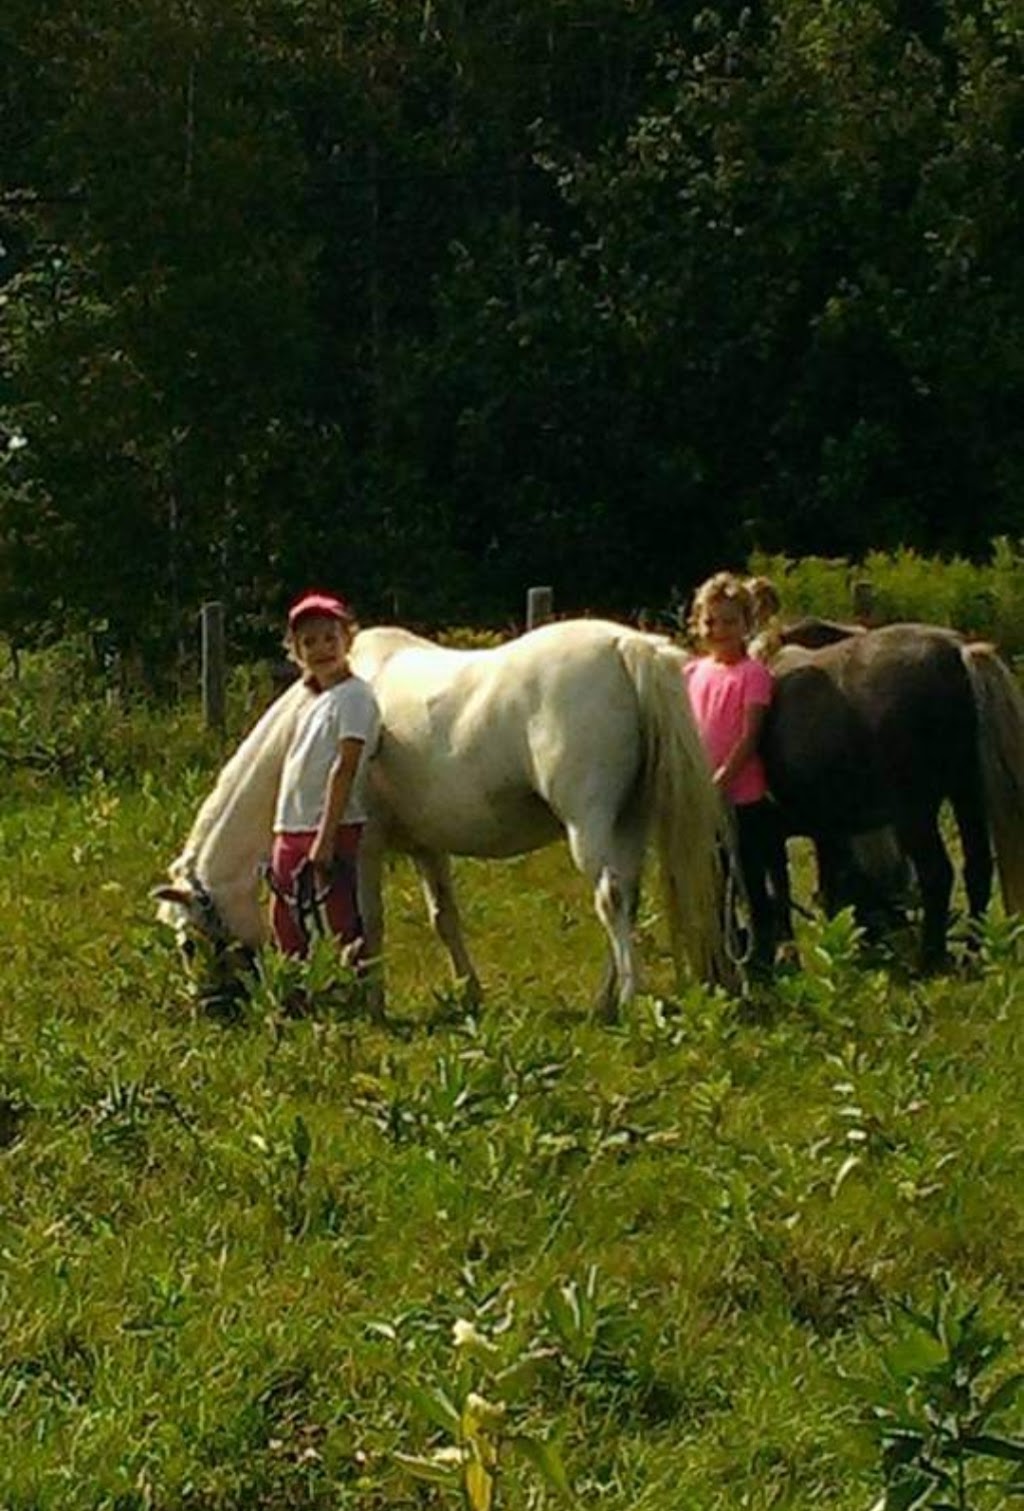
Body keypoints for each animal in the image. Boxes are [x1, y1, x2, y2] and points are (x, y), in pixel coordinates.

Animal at [156, 613, 730, 1015]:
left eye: (187, 944)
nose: (209, 1010)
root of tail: (625, 646)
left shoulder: (361, 849)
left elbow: (368, 922)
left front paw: (373, 1001)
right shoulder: (426, 848)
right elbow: (444, 918)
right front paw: (468, 992)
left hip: (590, 825)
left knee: (610, 898)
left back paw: (625, 1000)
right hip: (628, 821)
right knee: (627, 898)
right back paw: (605, 999)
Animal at [761, 622, 1024, 967]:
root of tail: (957, 651)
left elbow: (781, 888)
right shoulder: (827, 831)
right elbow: (830, 888)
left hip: (915, 812)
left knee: (937, 873)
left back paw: (929, 959)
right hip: (966, 794)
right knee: (977, 868)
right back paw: (968, 956)